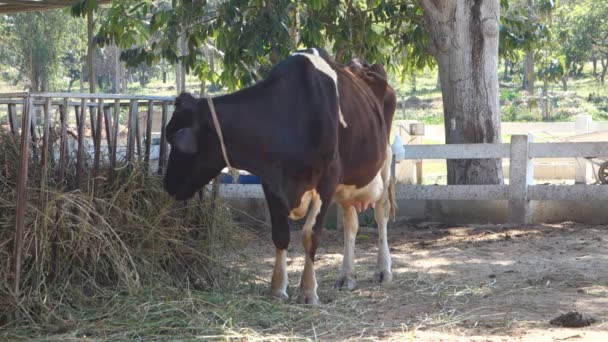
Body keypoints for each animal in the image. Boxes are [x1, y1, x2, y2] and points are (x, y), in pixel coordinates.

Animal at [164, 48, 396, 304]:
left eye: (174, 143)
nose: (167, 184)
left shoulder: (327, 179)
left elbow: (310, 235)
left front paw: (308, 291)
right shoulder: (271, 181)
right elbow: (280, 234)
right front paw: (277, 289)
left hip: (384, 162)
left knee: (381, 214)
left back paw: (383, 270)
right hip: (348, 183)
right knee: (351, 224)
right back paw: (347, 277)